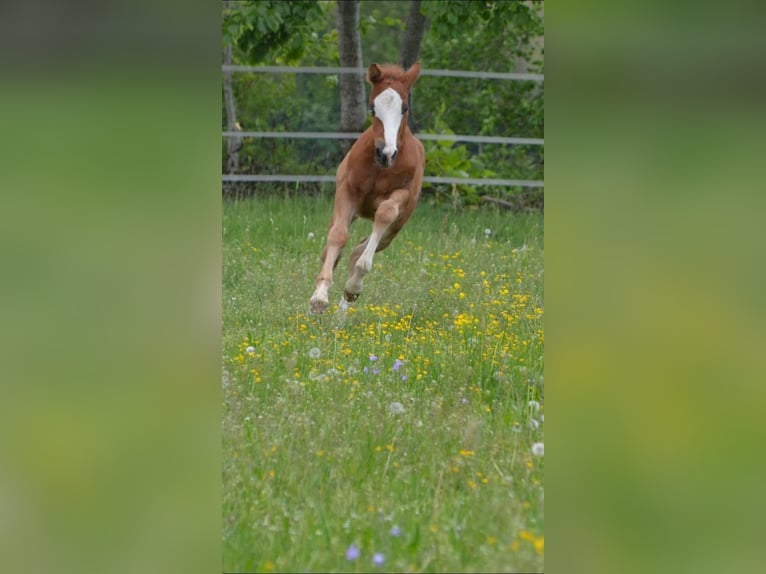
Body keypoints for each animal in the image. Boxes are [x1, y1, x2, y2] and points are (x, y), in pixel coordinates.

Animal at [310, 62, 425, 314]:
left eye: (405, 108)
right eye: (372, 108)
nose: (386, 153)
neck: (380, 169)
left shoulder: (401, 195)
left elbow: (384, 214)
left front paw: (355, 283)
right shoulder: (348, 191)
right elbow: (338, 237)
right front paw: (319, 298)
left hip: (395, 229)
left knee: (360, 250)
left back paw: (344, 307)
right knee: (332, 252)